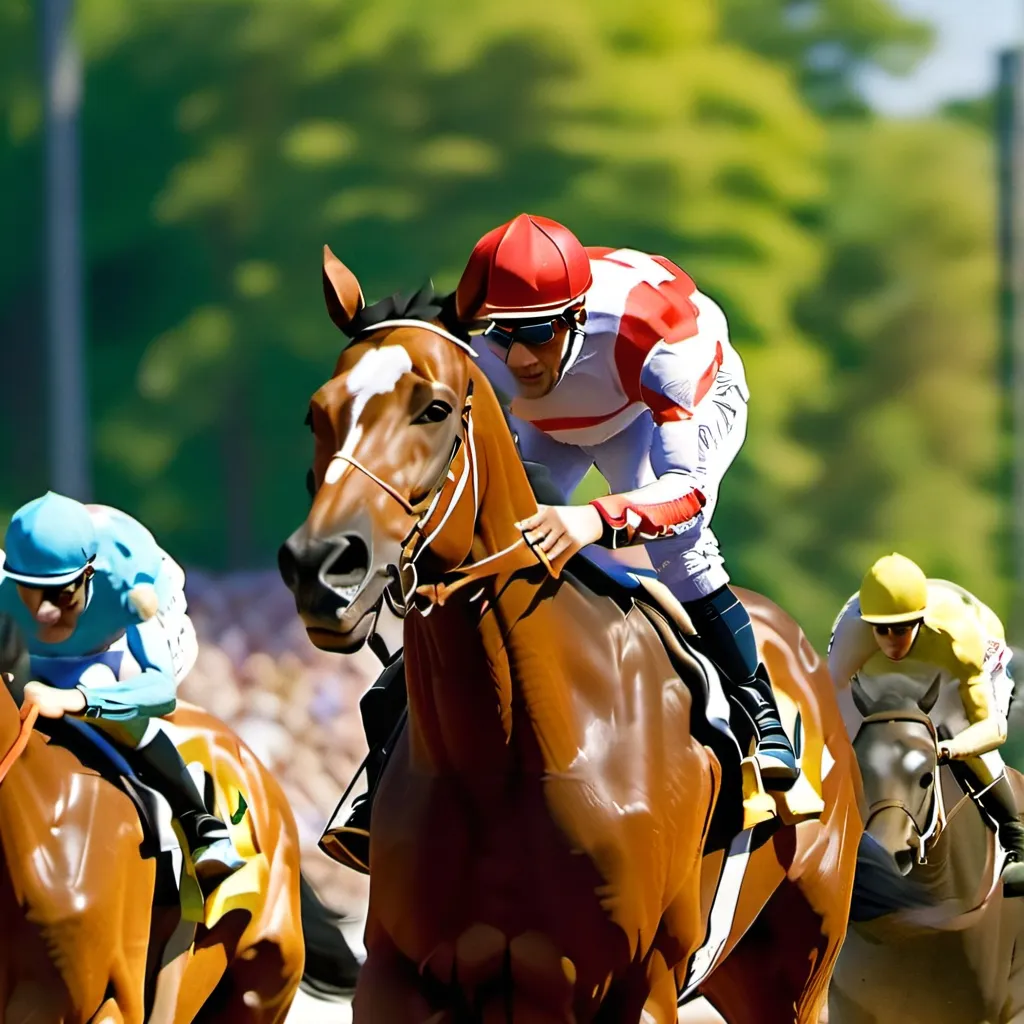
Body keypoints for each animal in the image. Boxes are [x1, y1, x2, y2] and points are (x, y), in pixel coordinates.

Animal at [278, 247, 862, 1023]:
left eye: (434, 408)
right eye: (317, 413)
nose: (320, 565)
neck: (506, 755)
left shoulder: (640, 985)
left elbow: (682, 488)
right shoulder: (397, 976)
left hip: (800, 973)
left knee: (686, 543)